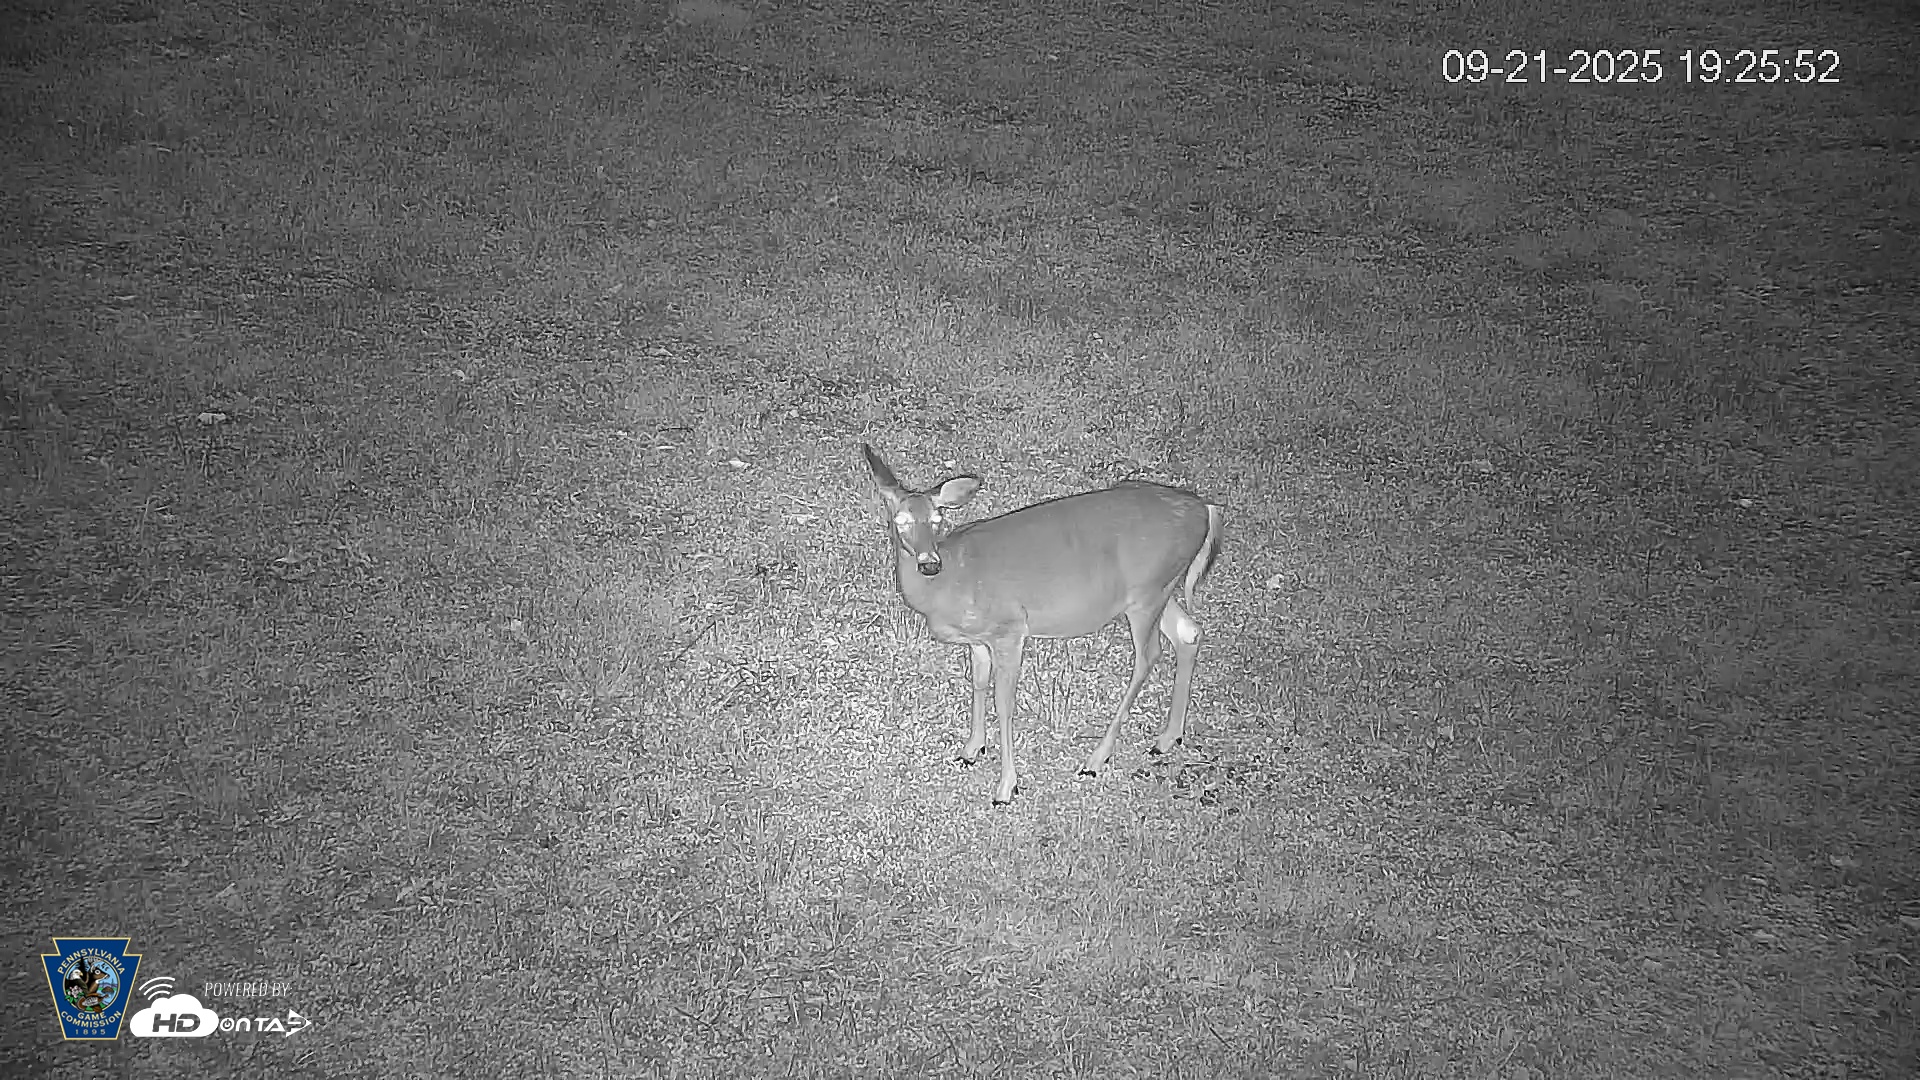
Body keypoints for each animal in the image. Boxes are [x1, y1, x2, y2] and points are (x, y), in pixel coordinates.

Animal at [861, 444, 1223, 804]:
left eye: (938, 518)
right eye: (901, 520)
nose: (929, 564)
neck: (951, 581)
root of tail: (1205, 509)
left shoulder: (1009, 628)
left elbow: (1004, 704)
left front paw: (1006, 787)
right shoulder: (978, 640)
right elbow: (978, 684)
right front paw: (971, 749)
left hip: (1148, 593)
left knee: (1149, 655)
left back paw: (1096, 759)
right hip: (1159, 589)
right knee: (1189, 632)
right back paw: (1167, 739)